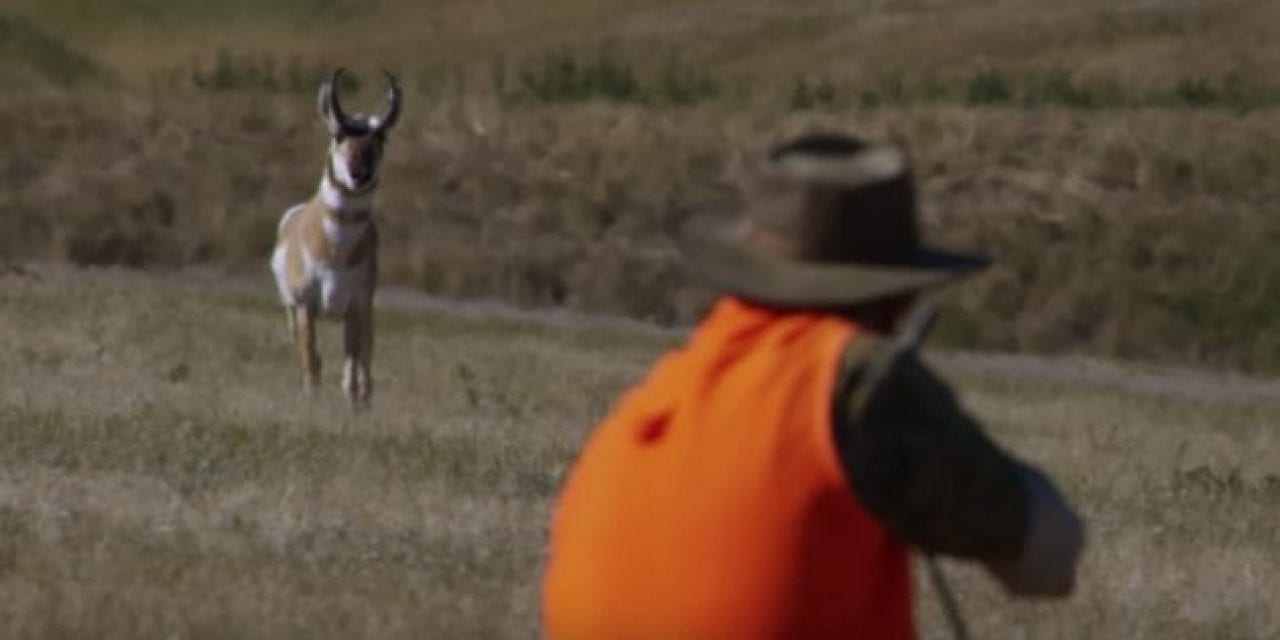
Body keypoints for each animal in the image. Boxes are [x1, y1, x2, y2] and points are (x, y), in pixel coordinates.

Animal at [272, 67, 401, 407]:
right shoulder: (305, 307)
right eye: (337, 135)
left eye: (380, 137)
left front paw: (354, 410)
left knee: (366, 365)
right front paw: (311, 404)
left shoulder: (355, 309)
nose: (360, 174)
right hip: (293, 313)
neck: (334, 251)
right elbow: (311, 363)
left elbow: (352, 370)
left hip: (366, 316)